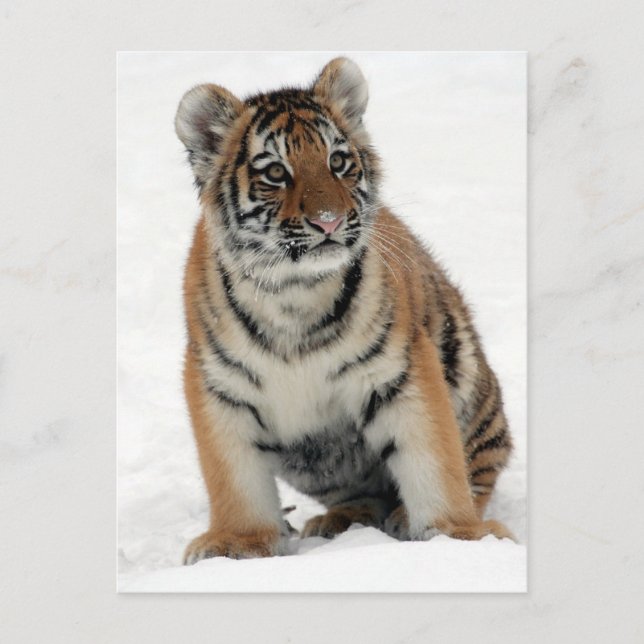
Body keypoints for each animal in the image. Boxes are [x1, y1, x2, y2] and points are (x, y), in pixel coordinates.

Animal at [175, 57, 513, 563]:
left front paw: (459, 537)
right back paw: (342, 520)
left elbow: (435, 461)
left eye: (337, 162)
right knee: (361, 493)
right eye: (275, 172)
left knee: (476, 470)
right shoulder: (219, 387)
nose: (329, 221)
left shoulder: (401, 373)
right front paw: (236, 543)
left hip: (470, 383)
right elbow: (233, 477)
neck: (294, 291)